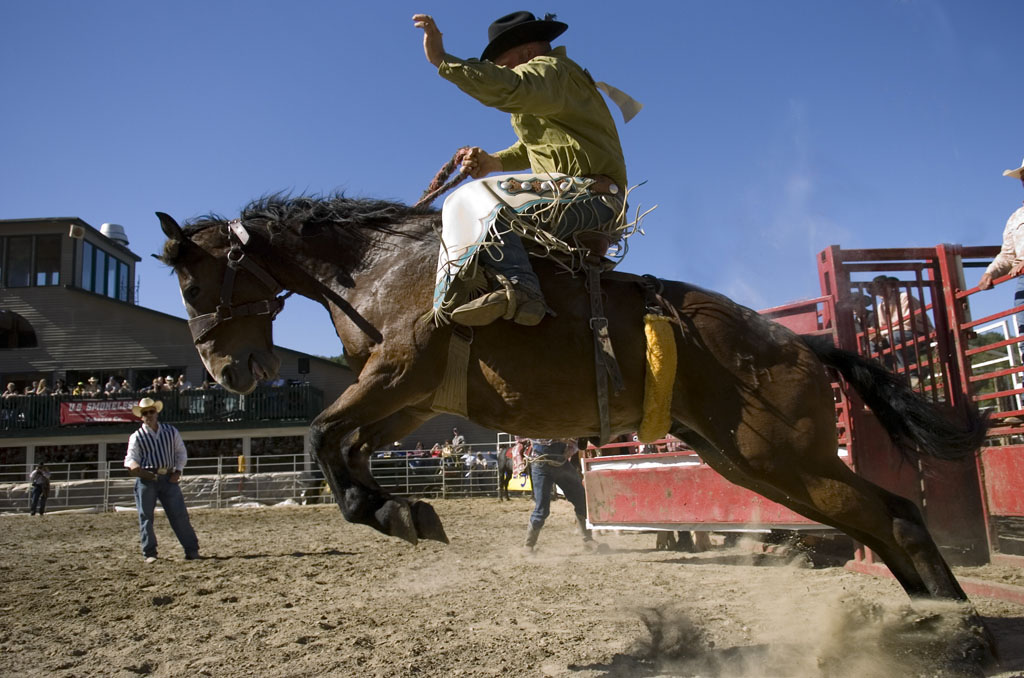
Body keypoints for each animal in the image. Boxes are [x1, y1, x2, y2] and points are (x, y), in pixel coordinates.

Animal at [155, 193, 987, 614]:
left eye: (193, 281)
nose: (227, 371)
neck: (382, 268)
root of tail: (802, 343)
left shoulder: (395, 375)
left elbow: (324, 435)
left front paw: (398, 512)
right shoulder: (409, 400)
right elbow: (343, 449)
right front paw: (403, 510)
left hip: (778, 454)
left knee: (891, 516)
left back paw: (955, 627)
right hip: (753, 462)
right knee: (884, 516)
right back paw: (935, 615)